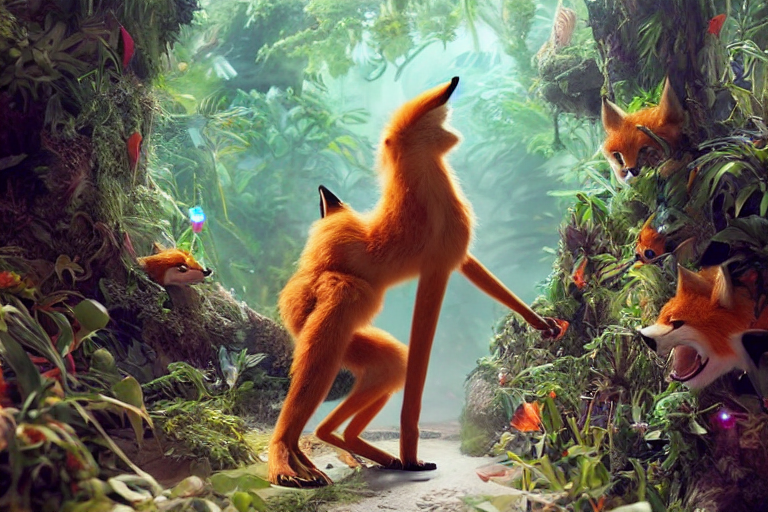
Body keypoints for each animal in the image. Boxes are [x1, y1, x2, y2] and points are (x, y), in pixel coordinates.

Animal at [267, 77, 567, 488]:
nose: (456, 135)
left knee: (355, 402)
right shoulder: (437, 270)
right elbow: (417, 384)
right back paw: (287, 457)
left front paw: (540, 323)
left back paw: (366, 453)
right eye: (440, 120)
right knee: (316, 382)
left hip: (360, 345)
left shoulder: (455, 259)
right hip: (340, 304)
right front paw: (412, 455)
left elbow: (489, 284)